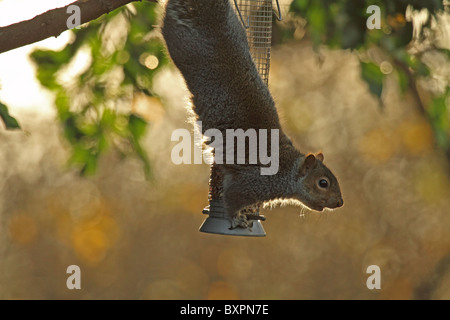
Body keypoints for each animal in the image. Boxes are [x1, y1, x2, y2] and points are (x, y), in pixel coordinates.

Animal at [160, 0, 342, 230]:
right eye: (323, 183)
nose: (340, 202)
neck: (287, 168)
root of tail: (212, 21)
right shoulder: (252, 184)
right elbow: (232, 199)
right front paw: (237, 218)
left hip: (236, 27)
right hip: (182, 43)